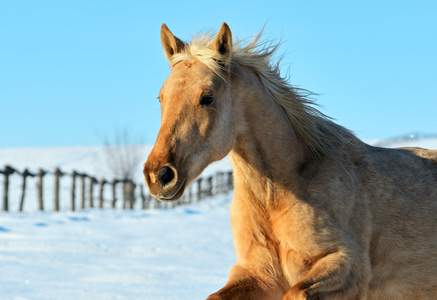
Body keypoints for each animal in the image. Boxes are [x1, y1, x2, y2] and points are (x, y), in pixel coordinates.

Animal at [143, 24, 436, 300]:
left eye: (207, 97)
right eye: (161, 97)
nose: (159, 175)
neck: (278, 193)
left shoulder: (347, 267)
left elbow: (296, 292)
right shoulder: (257, 274)